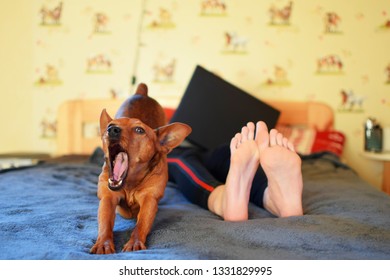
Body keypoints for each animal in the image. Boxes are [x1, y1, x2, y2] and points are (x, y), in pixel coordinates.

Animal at [90, 83, 190, 254]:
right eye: (110, 125)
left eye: (139, 130)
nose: (112, 130)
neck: (130, 183)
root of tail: (142, 93)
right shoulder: (108, 198)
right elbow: (104, 224)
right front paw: (103, 243)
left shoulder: (149, 200)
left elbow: (141, 224)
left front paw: (134, 242)